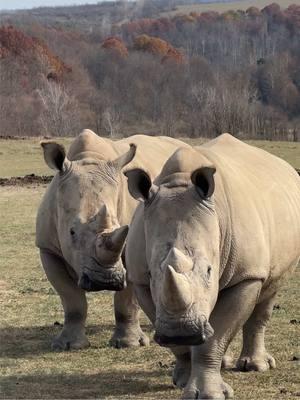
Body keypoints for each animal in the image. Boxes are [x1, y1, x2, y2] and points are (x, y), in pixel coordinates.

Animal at [34, 130, 185, 352]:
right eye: (71, 232)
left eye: (121, 227)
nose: (104, 280)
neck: (89, 159)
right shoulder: (47, 248)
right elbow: (71, 299)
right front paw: (68, 345)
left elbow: (127, 300)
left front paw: (130, 343)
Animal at [123, 134, 300, 400]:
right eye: (153, 273)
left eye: (209, 271)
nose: (182, 330)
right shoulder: (140, 278)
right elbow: (180, 340)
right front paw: (182, 380)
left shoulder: (246, 275)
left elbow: (215, 337)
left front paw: (209, 394)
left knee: (269, 290)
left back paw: (256, 366)